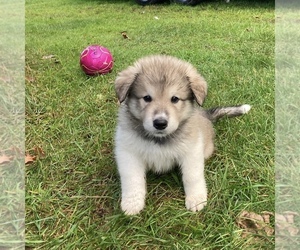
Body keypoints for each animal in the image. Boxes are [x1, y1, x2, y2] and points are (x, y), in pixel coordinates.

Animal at [113, 54, 250, 215]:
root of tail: (204, 115)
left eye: (175, 99)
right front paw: (132, 203)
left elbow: (192, 176)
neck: (160, 139)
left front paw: (196, 199)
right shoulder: (128, 153)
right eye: (147, 98)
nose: (160, 123)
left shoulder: (192, 151)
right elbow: (132, 179)